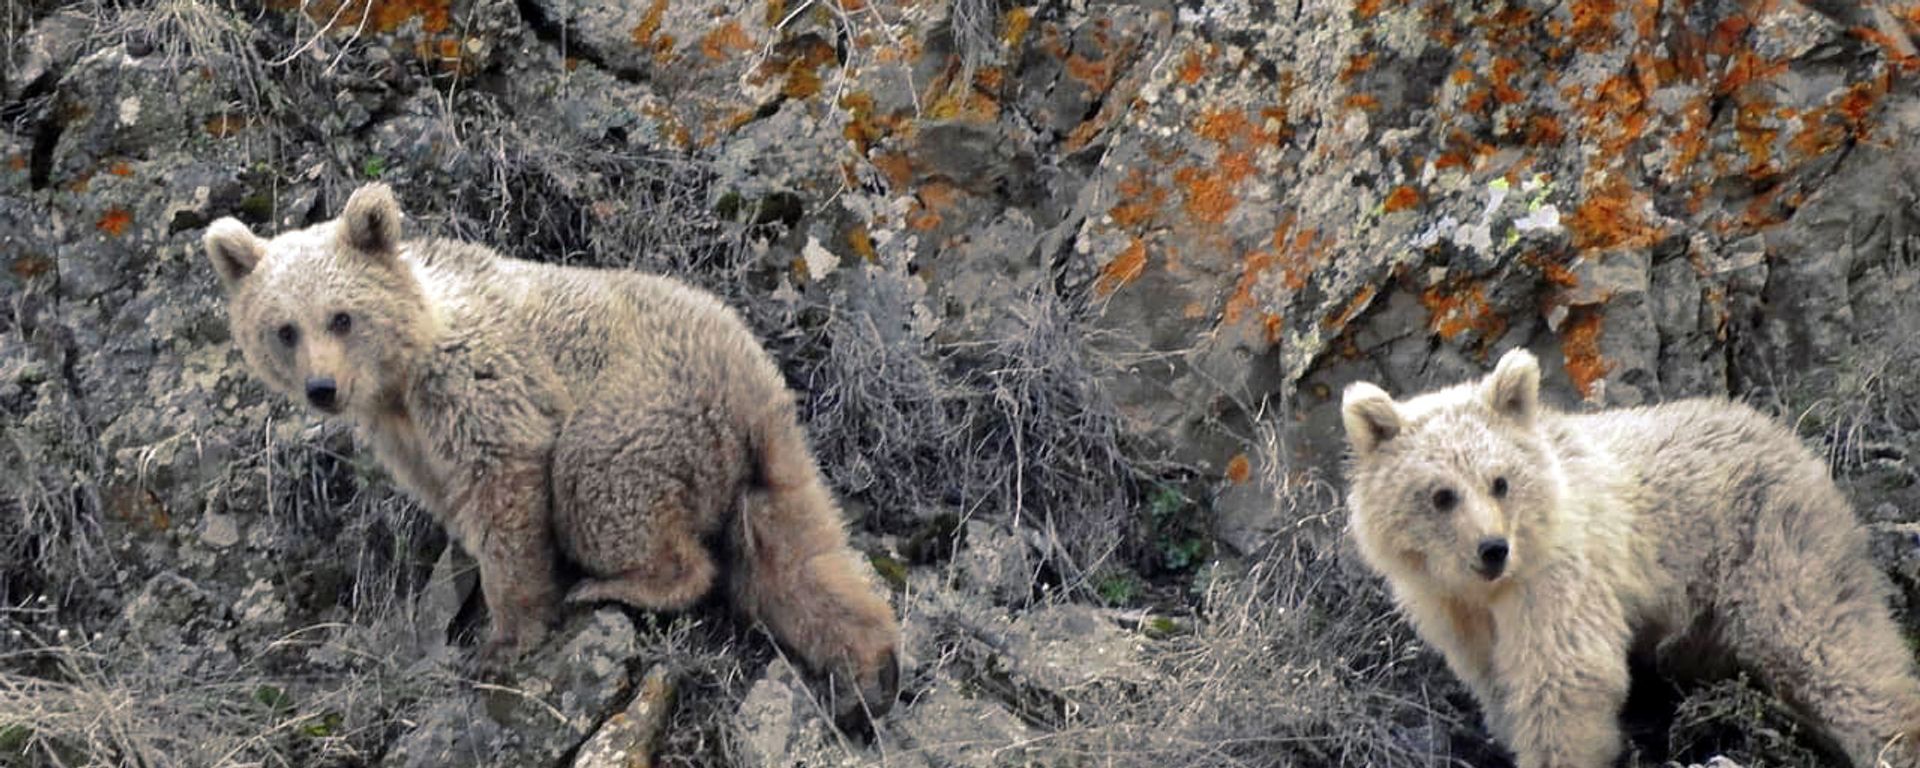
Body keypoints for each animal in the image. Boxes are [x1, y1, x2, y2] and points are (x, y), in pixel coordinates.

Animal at [201, 183, 901, 715]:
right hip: (764, 463)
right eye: (284, 329)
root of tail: (751, 383)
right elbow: (453, 503)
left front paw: (503, 637)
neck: (407, 370)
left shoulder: (482, 386)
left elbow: (505, 493)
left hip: (635, 409)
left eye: (342, 317)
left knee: (602, 488)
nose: (323, 388)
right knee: (799, 559)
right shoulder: (405, 439)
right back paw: (873, 665)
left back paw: (618, 585)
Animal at [1340, 347, 1920, 768]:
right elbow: (1499, 684)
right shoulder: (1453, 616)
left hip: (1770, 542)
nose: (1492, 549)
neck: (1485, 591)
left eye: (1499, 481)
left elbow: (1565, 675)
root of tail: (1780, 430)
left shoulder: (1559, 575)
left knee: (1827, 646)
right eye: (1441, 494)